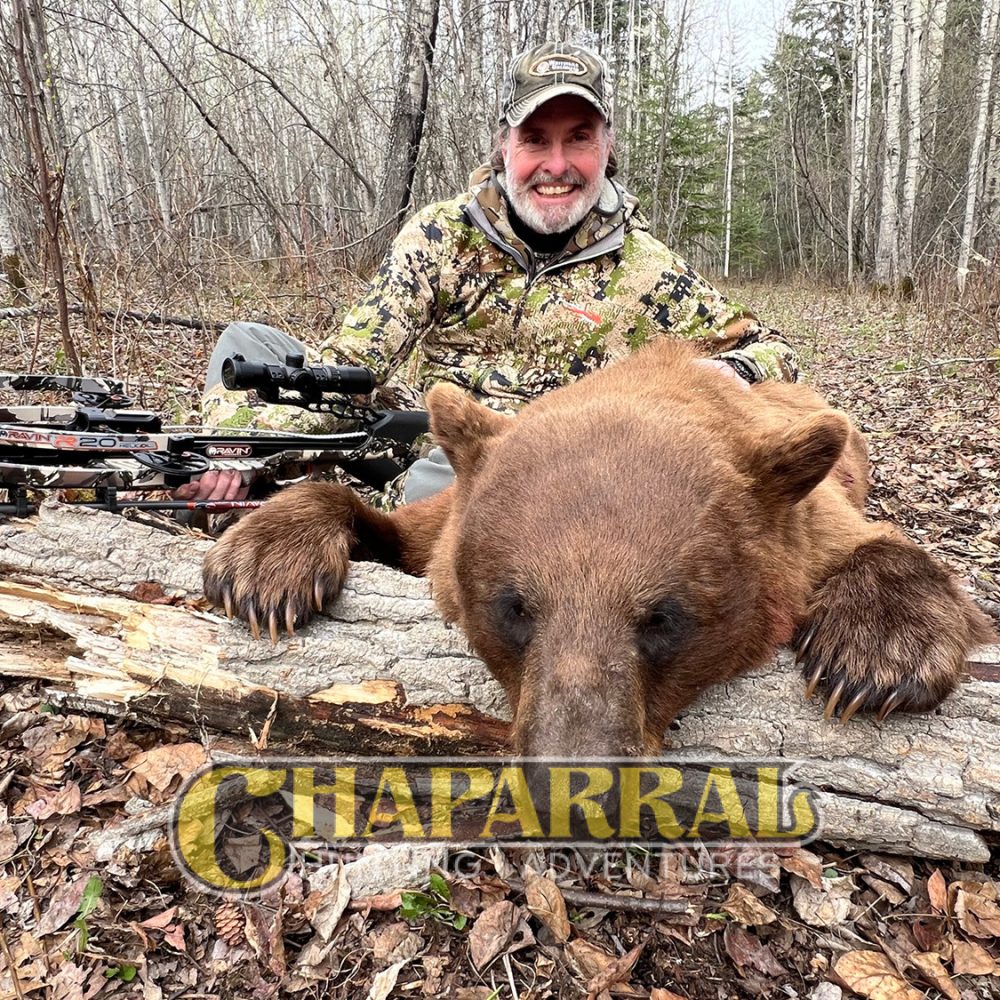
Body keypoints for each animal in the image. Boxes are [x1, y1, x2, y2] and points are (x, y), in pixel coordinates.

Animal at [202, 339, 995, 756]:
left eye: (663, 618)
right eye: (515, 607)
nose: (570, 777)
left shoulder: (812, 519)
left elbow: (887, 552)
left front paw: (876, 652)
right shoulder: (448, 521)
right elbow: (387, 526)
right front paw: (263, 563)